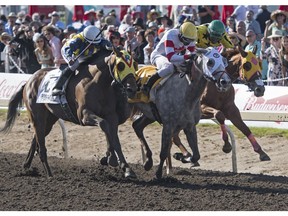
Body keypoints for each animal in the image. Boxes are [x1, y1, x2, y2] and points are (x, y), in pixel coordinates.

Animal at [0, 48, 138, 178]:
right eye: (121, 65)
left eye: (135, 65)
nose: (132, 89)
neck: (97, 83)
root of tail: (29, 81)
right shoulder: (84, 115)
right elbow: (104, 125)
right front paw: (112, 158)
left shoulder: (111, 116)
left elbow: (114, 139)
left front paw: (125, 168)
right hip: (37, 116)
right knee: (41, 147)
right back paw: (49, 174)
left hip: (49, 119)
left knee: (36, 140)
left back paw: (26, 166)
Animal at [130, 47, 232, 179]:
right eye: (210, 62)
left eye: (224, 61)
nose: (226, 82)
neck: (187, 94)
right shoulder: (168, 126)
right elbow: (163, 152)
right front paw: (158, 173)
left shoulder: (190, 126)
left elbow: (196, 155)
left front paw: (180, 156)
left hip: (149, 115)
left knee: (137, 126)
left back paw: (148, 162)